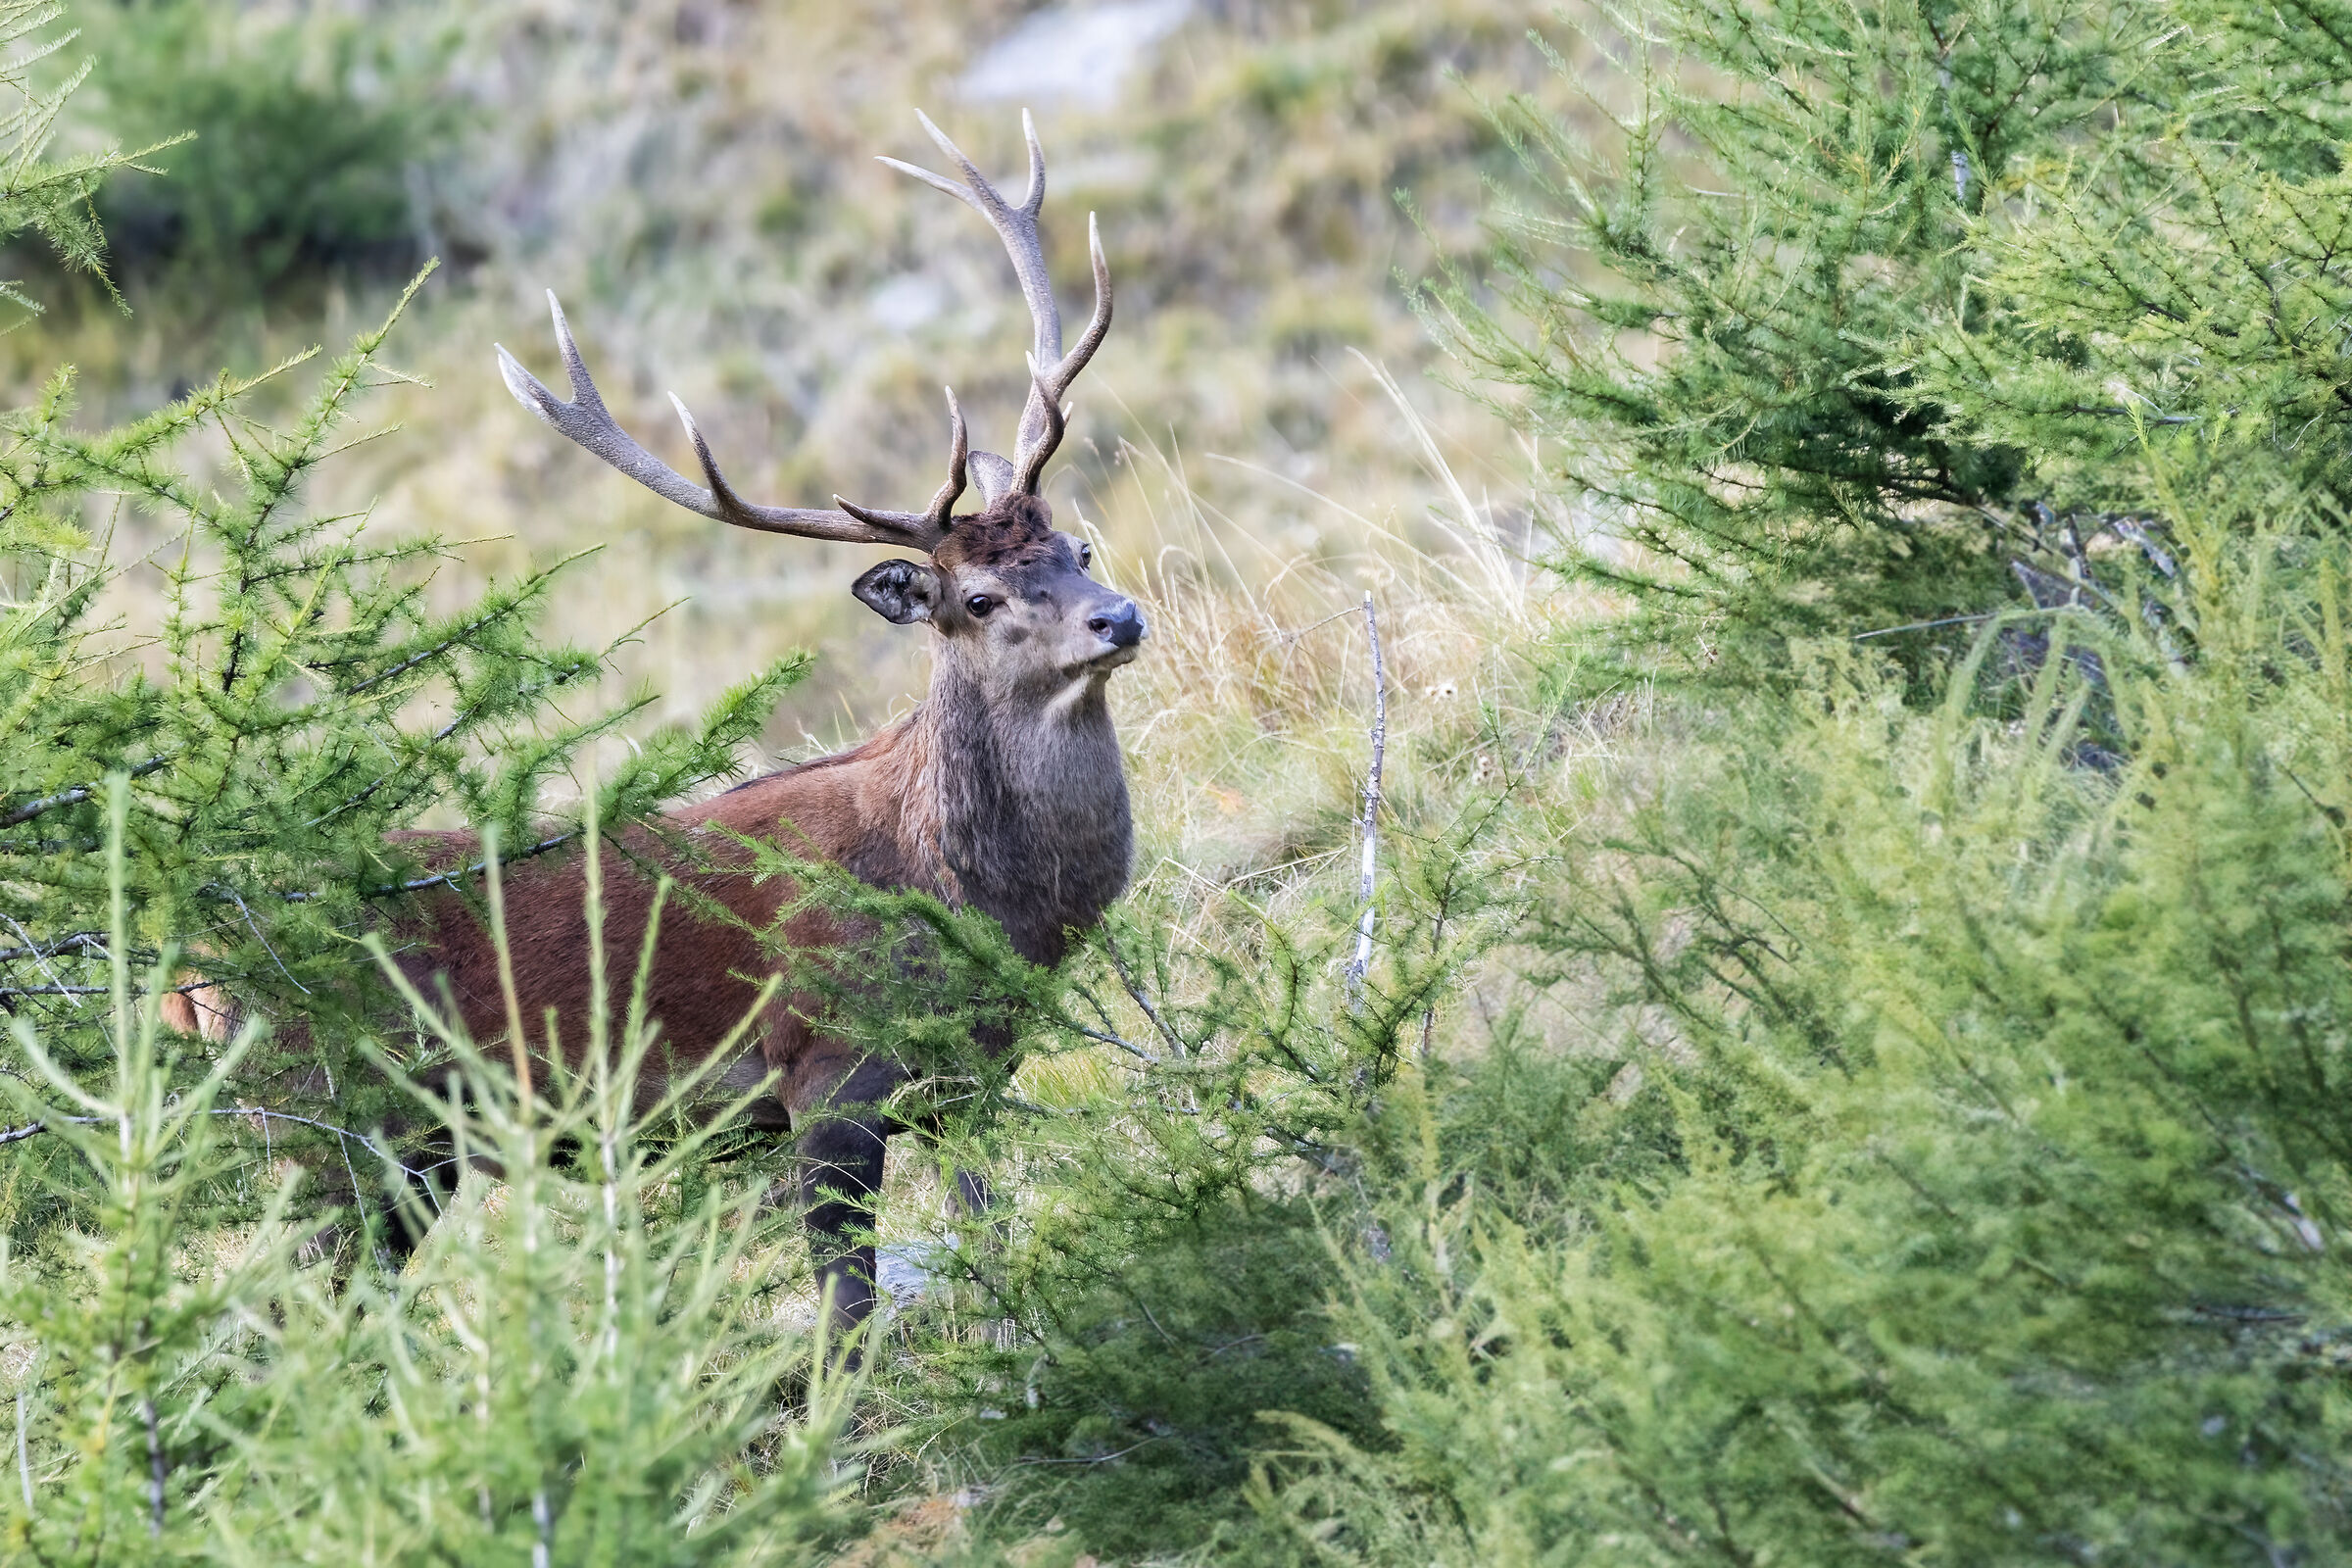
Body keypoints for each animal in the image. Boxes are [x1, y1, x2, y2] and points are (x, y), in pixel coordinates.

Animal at [168, 112, 1144, 1336]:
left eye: (1080, 546)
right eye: (975, 599)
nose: (1119, 617)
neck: (979, 906)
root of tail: (190, 973)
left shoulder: (970, 1076)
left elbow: (995, 1243)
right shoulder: (826, 1073)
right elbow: (846, 1317)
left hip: (408, 1155)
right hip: (326, 1124)